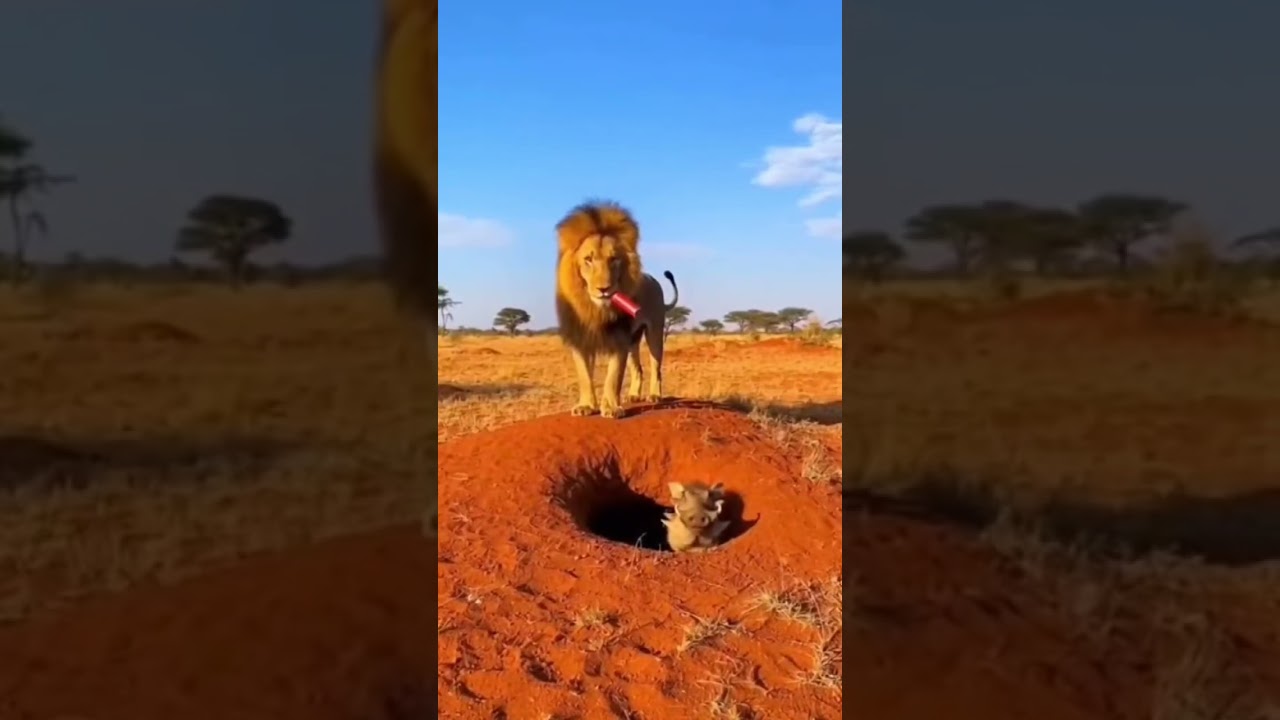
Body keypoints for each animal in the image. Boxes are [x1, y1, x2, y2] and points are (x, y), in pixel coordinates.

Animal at [555, 201, 679, 419]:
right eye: (588, 259)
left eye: (613, 259)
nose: (604, 289)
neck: (595, 310)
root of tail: (653, 279)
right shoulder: (580, 339)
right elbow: (584, 376)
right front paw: (586, 406)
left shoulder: (619, 339)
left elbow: (614, 376)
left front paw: (611, 408)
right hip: (633, 339)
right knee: (638, 368)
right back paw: (634, 396)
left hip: (655, 332)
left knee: (656, 367)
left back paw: (655, 396)